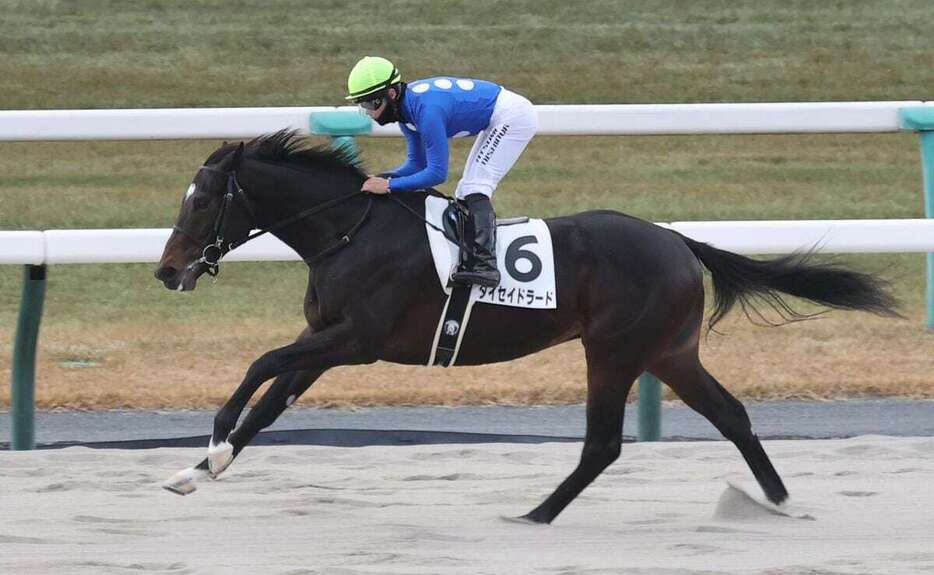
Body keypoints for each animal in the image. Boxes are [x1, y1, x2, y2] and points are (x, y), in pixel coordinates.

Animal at [154, 130, 900, 528]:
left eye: (204, 201)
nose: (167, 271)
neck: (349, 230)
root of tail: (678, 241)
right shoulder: (328, 341)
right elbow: (270, 403)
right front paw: (196, 469)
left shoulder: (357, 341)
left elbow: (258, 366)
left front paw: (211, 442)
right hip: (669, 353)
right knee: (733, 415)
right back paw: (779, 502)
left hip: (616, 349)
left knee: (604, 443)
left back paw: (537, 514)